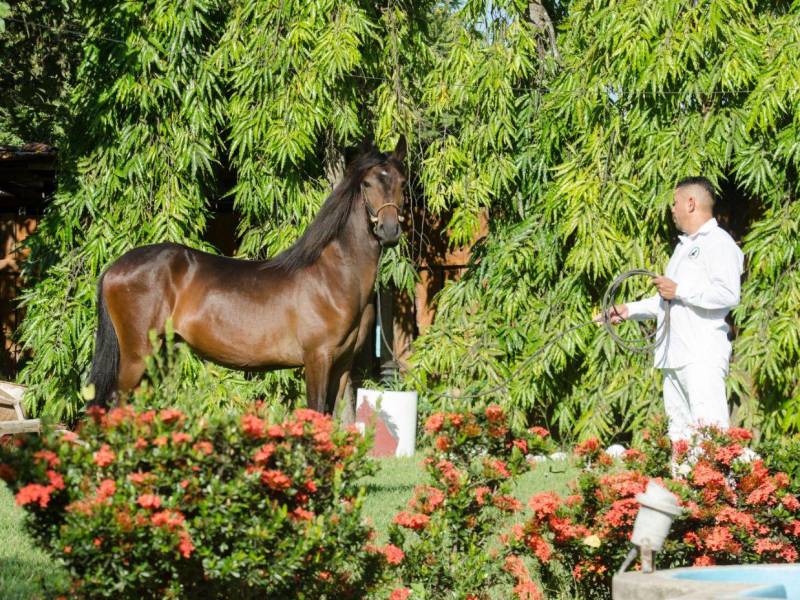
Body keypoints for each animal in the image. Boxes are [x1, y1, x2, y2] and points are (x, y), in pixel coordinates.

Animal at [90, 138, 410, 414]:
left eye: (402, 183)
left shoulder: (342, 364)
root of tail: (114, 268)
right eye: (367, 183)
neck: (333, 277)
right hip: (138, 355)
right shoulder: (317, 358)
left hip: (159, 355)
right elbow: (314, 412)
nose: (389, 230)